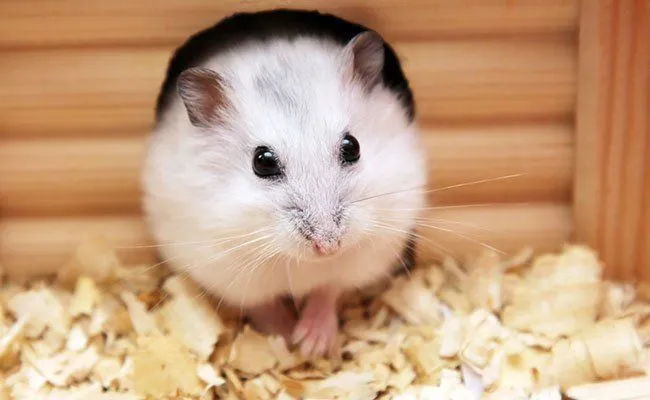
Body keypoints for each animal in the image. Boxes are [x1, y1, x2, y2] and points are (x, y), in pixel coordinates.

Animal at [142, 9, 428, 357]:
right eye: (262, 162)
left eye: (353, 147)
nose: (328, 246)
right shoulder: (228, 271)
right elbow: (263, 306)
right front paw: (285, 337)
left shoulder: (360, 257)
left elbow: (328, 290)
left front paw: (310, 344)